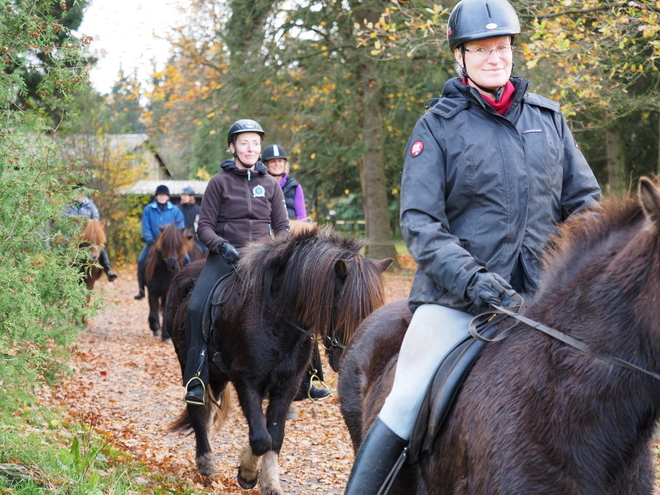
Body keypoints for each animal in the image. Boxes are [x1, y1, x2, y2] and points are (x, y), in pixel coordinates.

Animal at [166, 227, 392, 495]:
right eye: (344, 306)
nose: (353, 358)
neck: (276, 320)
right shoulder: (247, 382)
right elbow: (261, 438)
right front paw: (248, 474)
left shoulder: (287, 386)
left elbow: (274, 436)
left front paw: (269, 483)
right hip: (192, 365)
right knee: (198, 410)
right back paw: (206, 463)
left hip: (218, 375)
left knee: (210, 409)